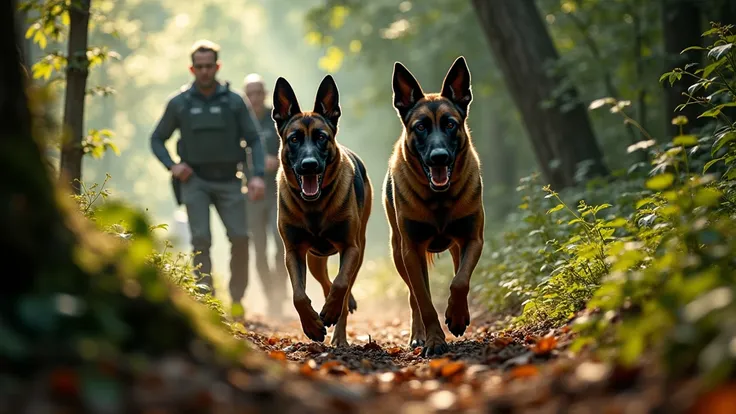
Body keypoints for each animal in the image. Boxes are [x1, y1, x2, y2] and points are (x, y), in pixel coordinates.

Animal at [272, 73, 374, 346]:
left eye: (321, 137)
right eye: (294, 138)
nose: (309, 165)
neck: (314, 206)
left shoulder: (350, 247)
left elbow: (340, 284)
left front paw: (330, 312)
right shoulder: (293, 251)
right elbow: (298, 294)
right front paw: (312, 326)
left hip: (358, 250)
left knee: (343, 285)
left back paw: (338, 329)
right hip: (315, 259)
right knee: (325, 281)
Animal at [386, 57, 484, 356]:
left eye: (450, 124)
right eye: (420, 127)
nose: (439, 157)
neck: (439, 198)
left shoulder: (472, 239)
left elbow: (460, 281)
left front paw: (458, 317)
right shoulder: (411, 251)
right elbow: (424, 301)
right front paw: (433, 341)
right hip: (398, 252)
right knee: (413, 296)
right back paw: (418, 335)